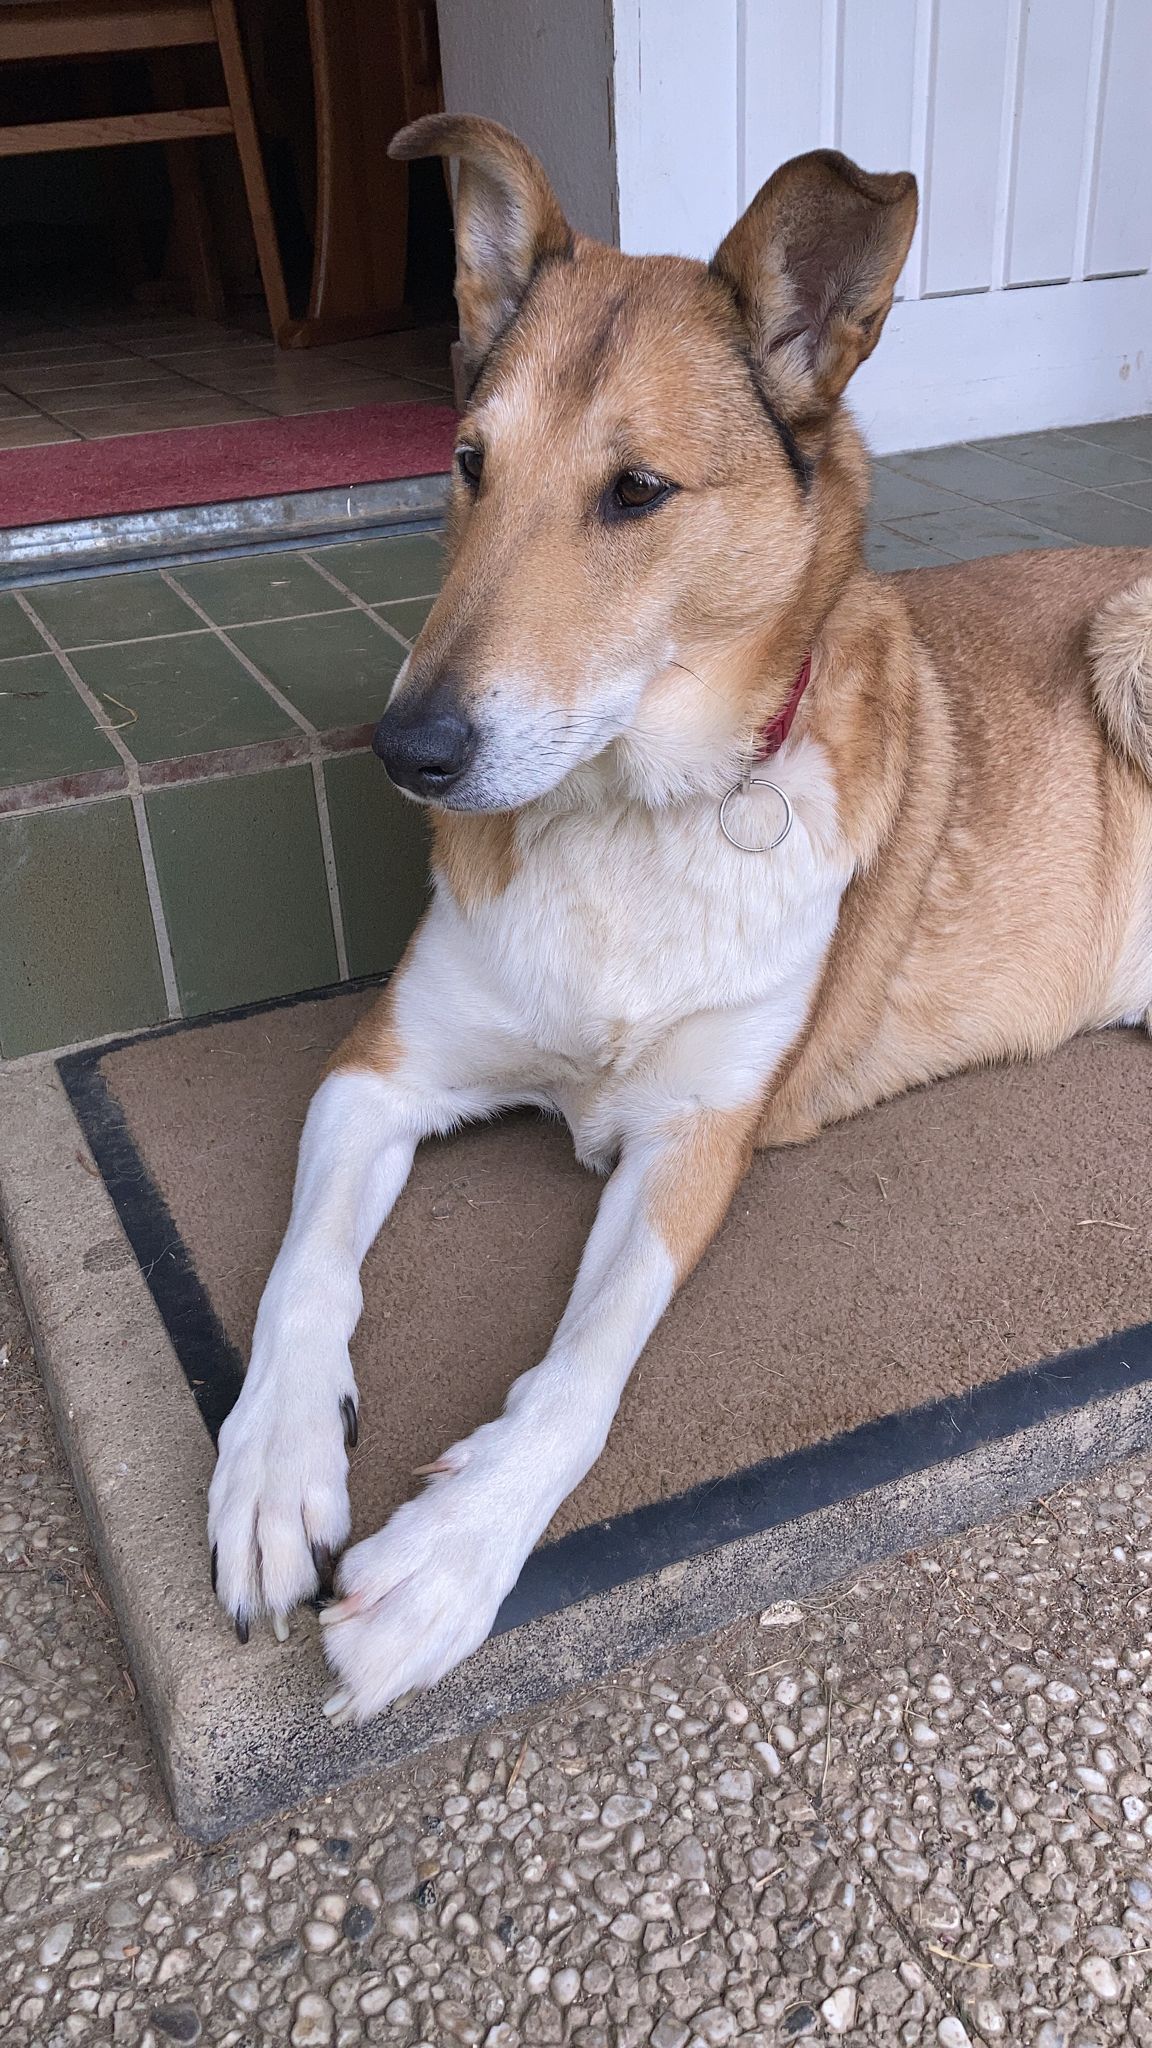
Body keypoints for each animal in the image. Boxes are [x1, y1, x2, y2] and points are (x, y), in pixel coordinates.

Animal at [208, 113, 1152, 1723]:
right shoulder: (382, 1071)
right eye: (467, 463)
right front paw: (274, 1474)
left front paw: (446, 1560)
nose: (407, 753)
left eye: (637, 492)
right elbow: (299, 1281)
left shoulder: (694, 1137)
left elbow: (584, 1372)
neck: (628, 821)